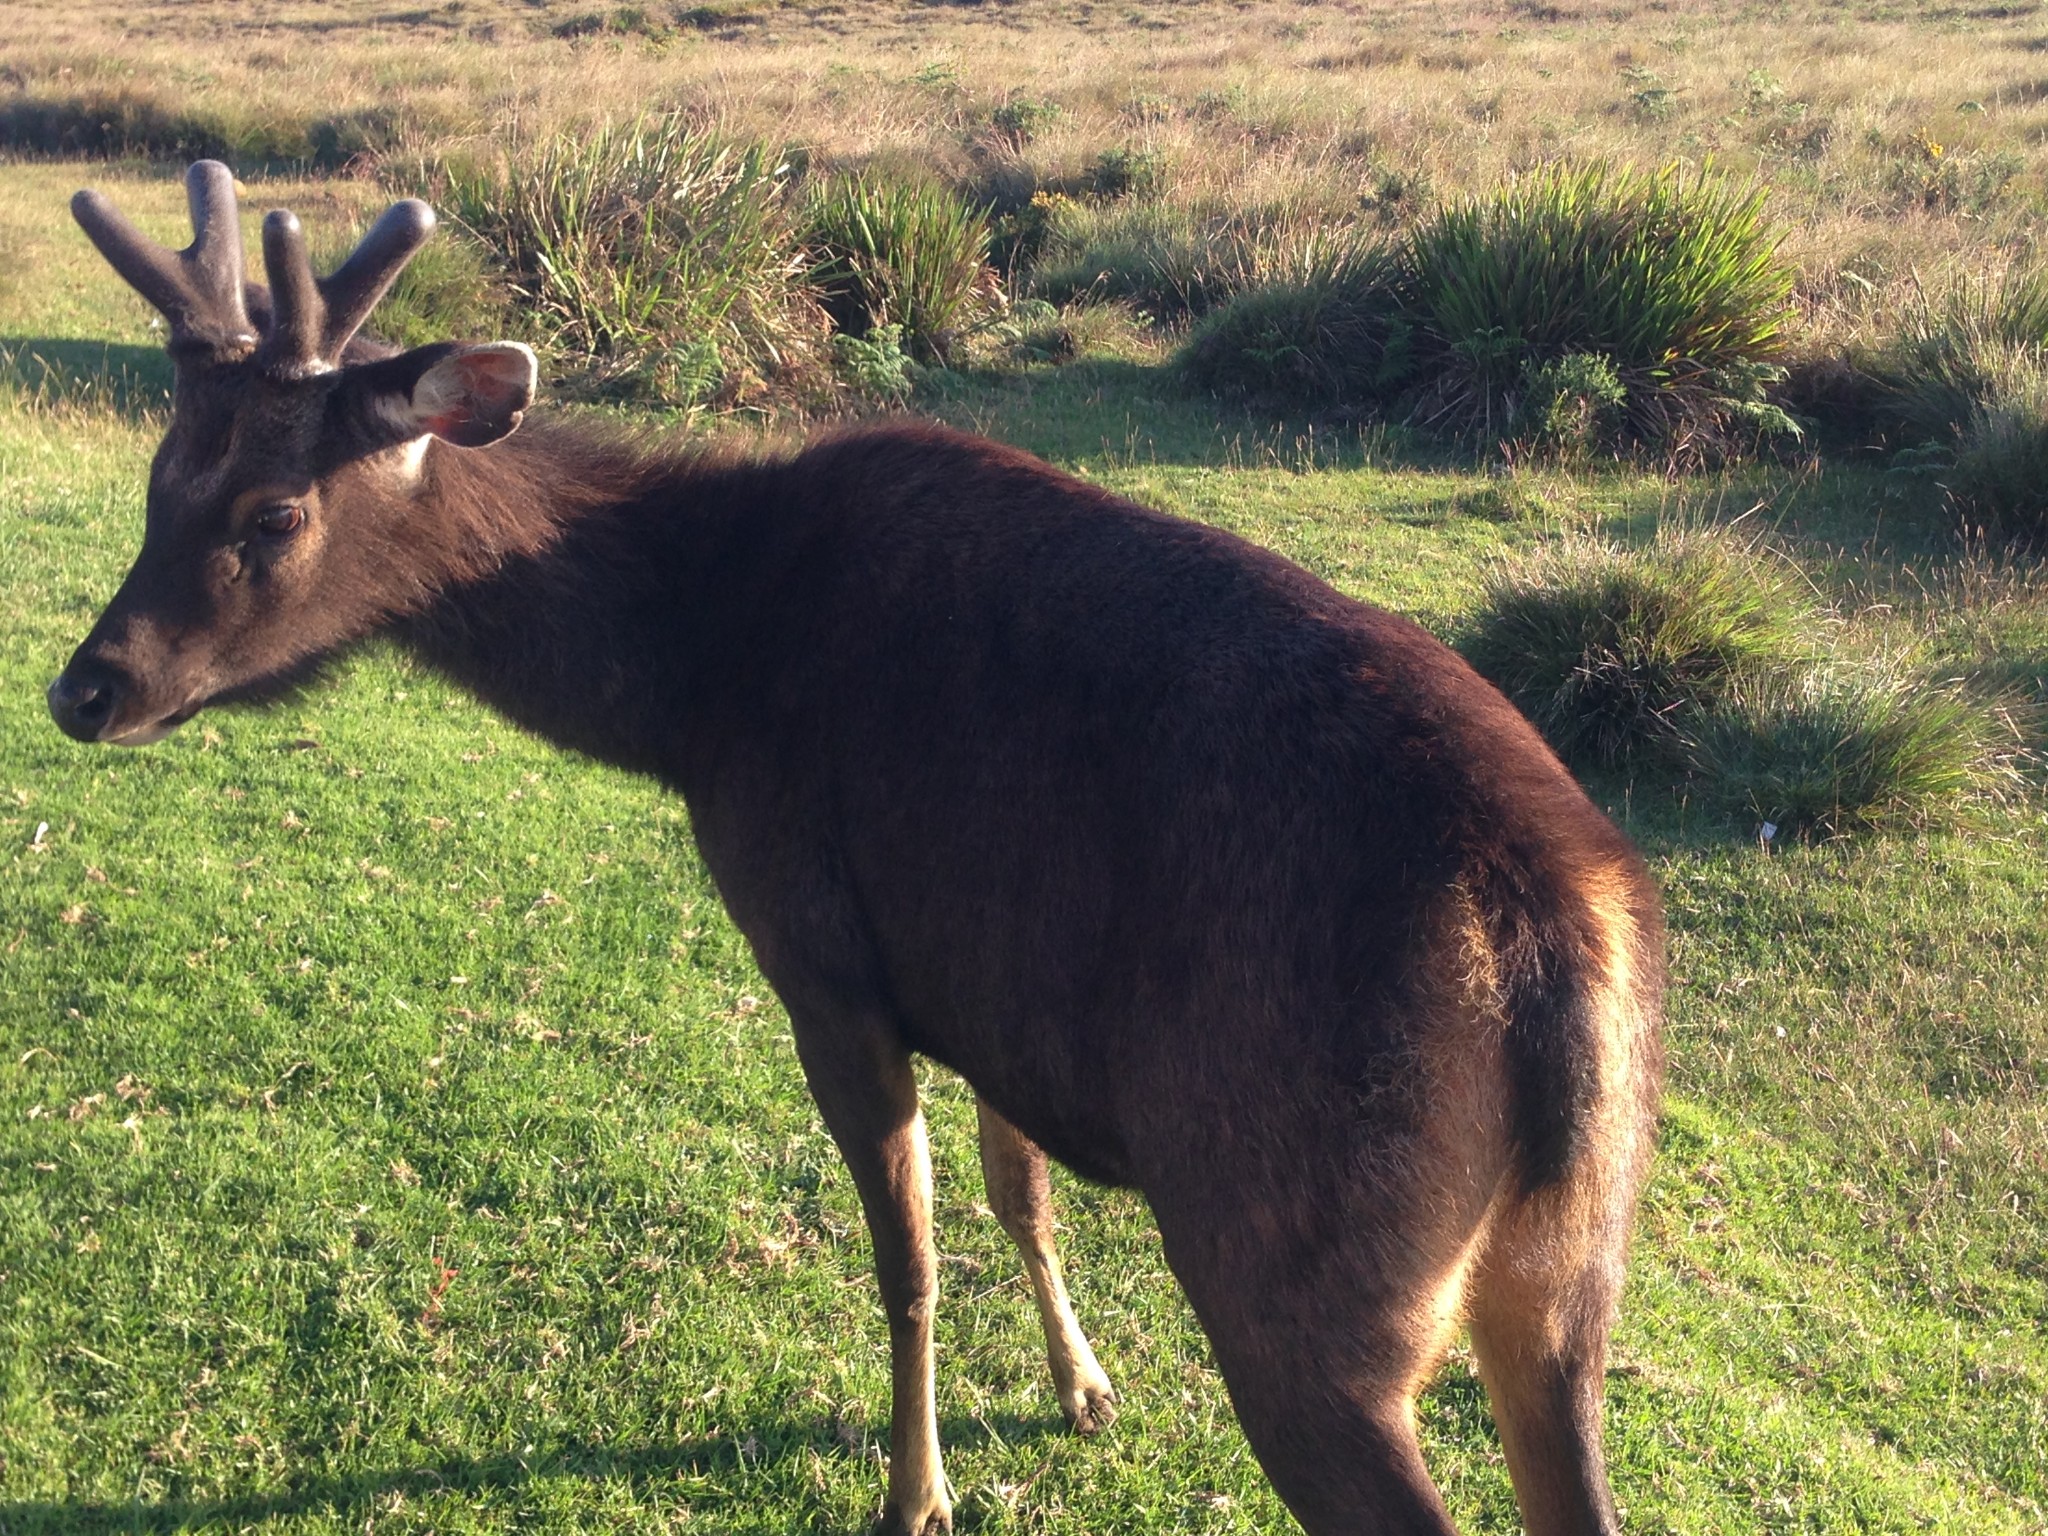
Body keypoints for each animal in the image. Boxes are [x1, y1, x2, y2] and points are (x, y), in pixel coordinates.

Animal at [51, 159, 1662, 1536]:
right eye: (158, 473)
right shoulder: (994, 991)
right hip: (1564, 1280)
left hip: (1294, 1264)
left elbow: (908, 1257)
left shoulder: (819, 951)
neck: (691, 686)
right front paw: (1081, 1389)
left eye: (273, 508)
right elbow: (1020, 1195)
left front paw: (916, 1492)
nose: (85, 689)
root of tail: (1557, 942)